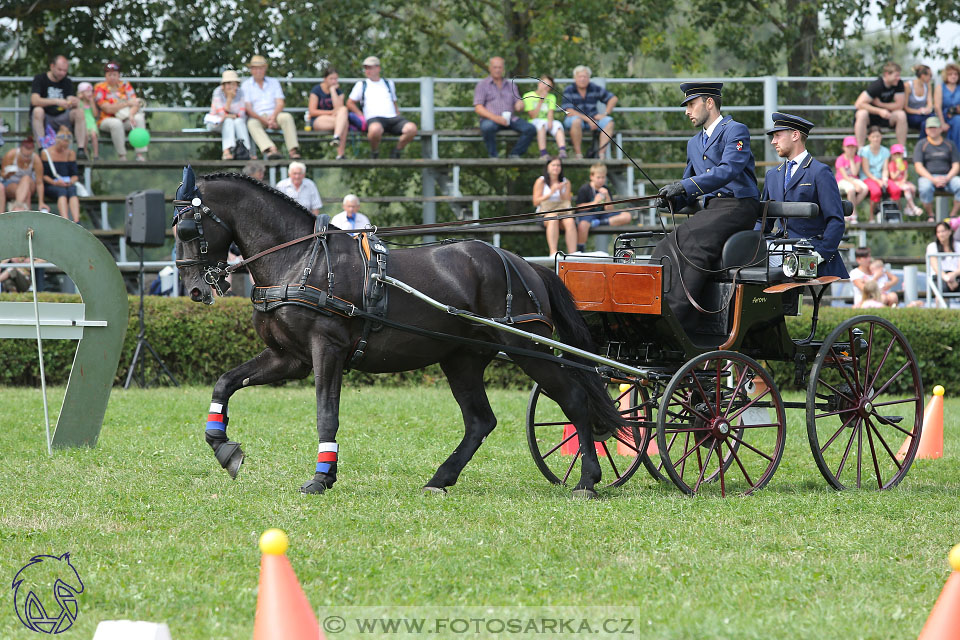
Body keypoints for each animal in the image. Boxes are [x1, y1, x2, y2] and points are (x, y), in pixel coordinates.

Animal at [172, 168, 624, 498]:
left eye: (187, 230)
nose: (195, 290)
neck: (299, 258)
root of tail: (523, 264)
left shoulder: (326, 349)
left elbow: (326, 413)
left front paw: (321, 477)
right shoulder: (290, 357)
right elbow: (225, 382)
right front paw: (223, 447)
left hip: (526, 347)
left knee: (575, 400)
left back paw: (587, 480)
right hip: (461, 358)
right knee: (480, 421)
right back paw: (441, 479)